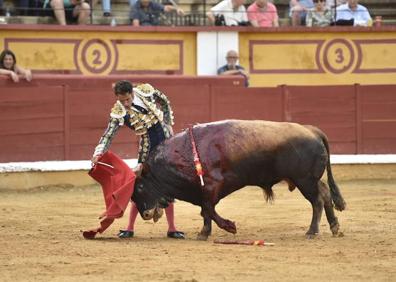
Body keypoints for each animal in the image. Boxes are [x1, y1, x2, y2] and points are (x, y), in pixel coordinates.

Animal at [131, 118, 344, 238]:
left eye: (140, 187)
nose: (146, 214)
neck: (186, 153)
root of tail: (312, 130)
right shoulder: (203, 190)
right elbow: (205, 212)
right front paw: (204, 233)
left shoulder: (212, 186)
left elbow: (207, 209)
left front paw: (229, 227)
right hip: (311, 180)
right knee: (326, 194)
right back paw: (334, 228)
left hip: (305, 180)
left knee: (317, 201)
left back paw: (312, 231)